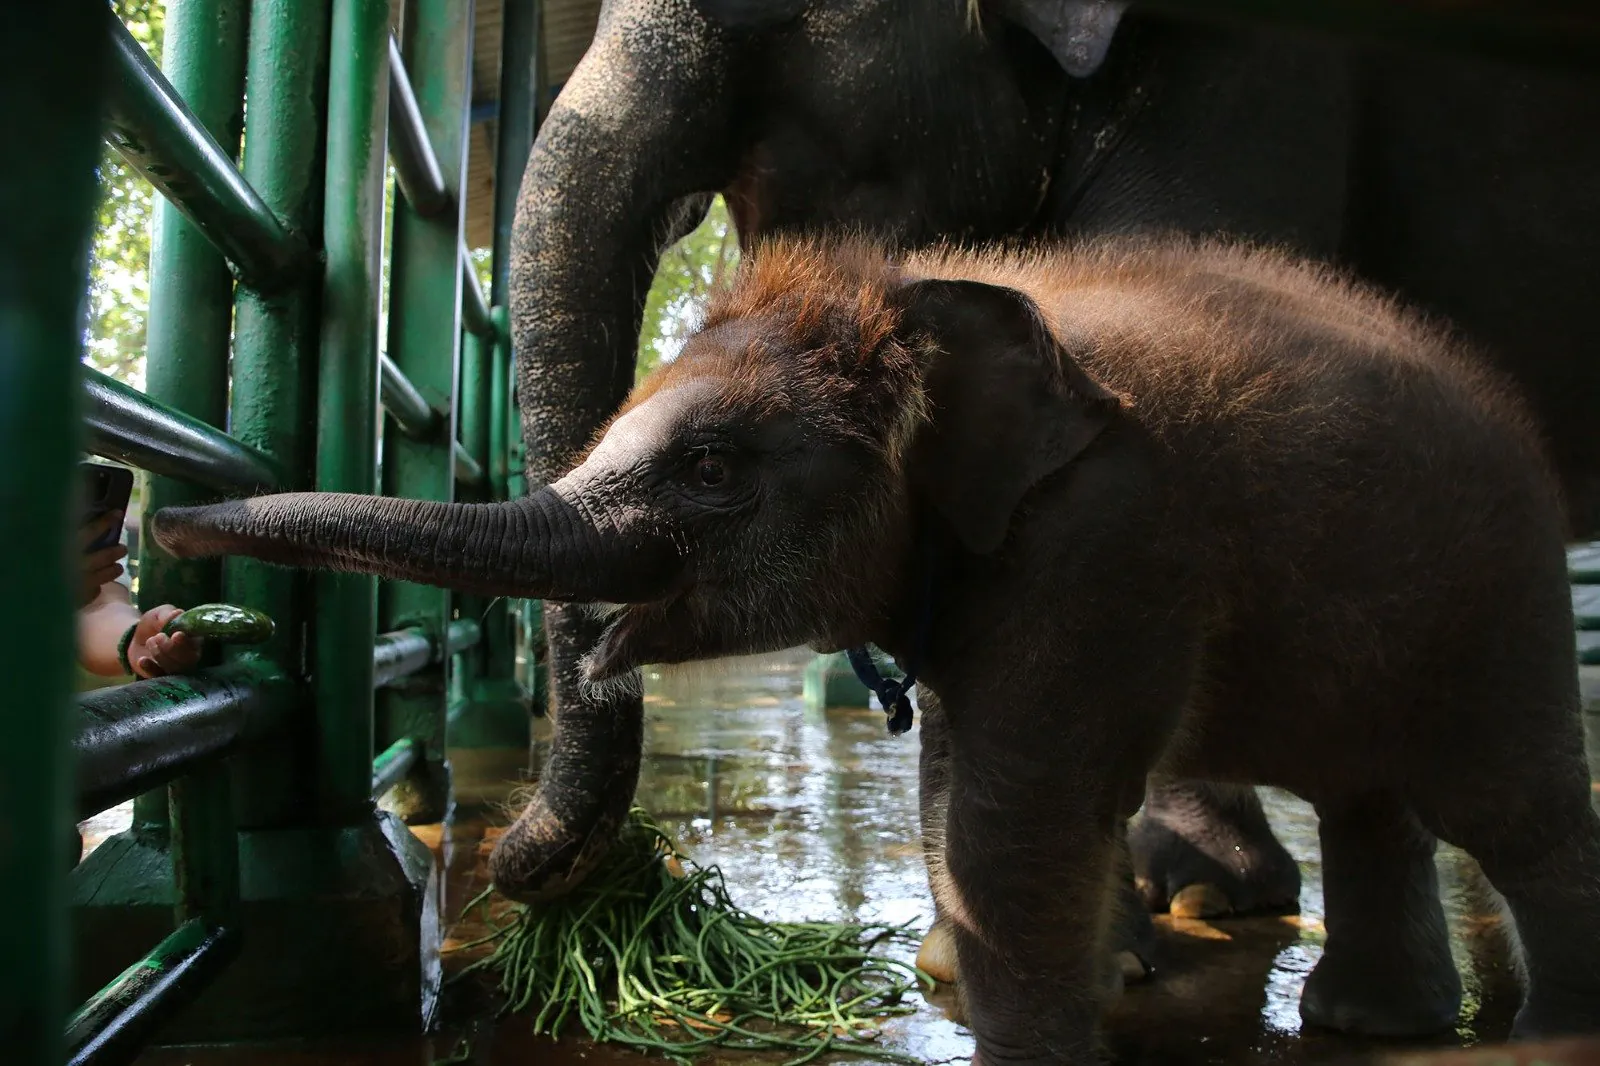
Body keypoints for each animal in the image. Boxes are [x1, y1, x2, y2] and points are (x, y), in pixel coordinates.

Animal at [152, 235, 1600, 1062]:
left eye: (714, 466)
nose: (163, 526)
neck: (911, 298)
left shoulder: (1107, 531)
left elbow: (1015, 813)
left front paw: (1032, 1041)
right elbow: (959, 777)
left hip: (1504, 600)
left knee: (1509, 811)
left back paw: (1545, 1029)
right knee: (1375, 799)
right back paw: (1374, 1027)